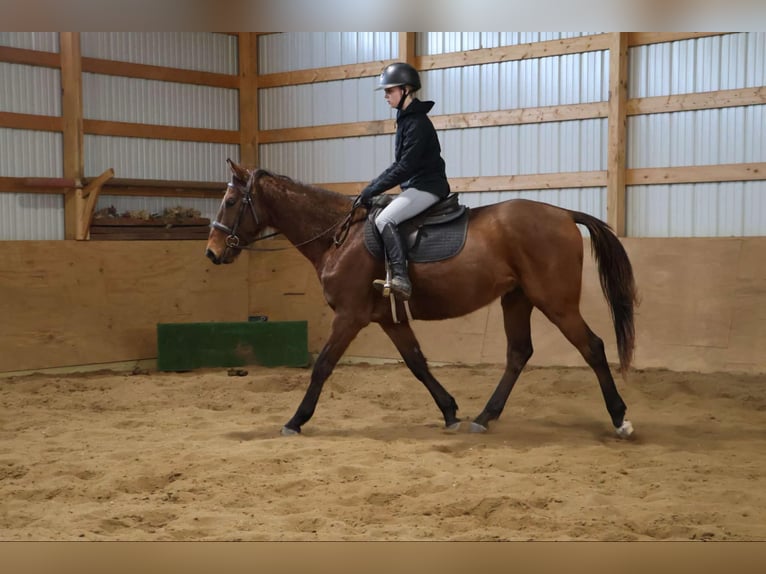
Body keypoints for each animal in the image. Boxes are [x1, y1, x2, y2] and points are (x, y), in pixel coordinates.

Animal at [206, 159, 639, 439]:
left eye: (230, 202)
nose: (211, 253)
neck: (338, 237)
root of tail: (563, 213)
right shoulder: (388, 318)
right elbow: (416, 362)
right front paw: (449, 411)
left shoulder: (349, 316)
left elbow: (323, 366)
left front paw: (296, 420)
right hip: (517, 299)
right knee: (519, 353)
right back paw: (485, 416)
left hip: (555, 302)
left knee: (592, 347)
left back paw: (620, 419)